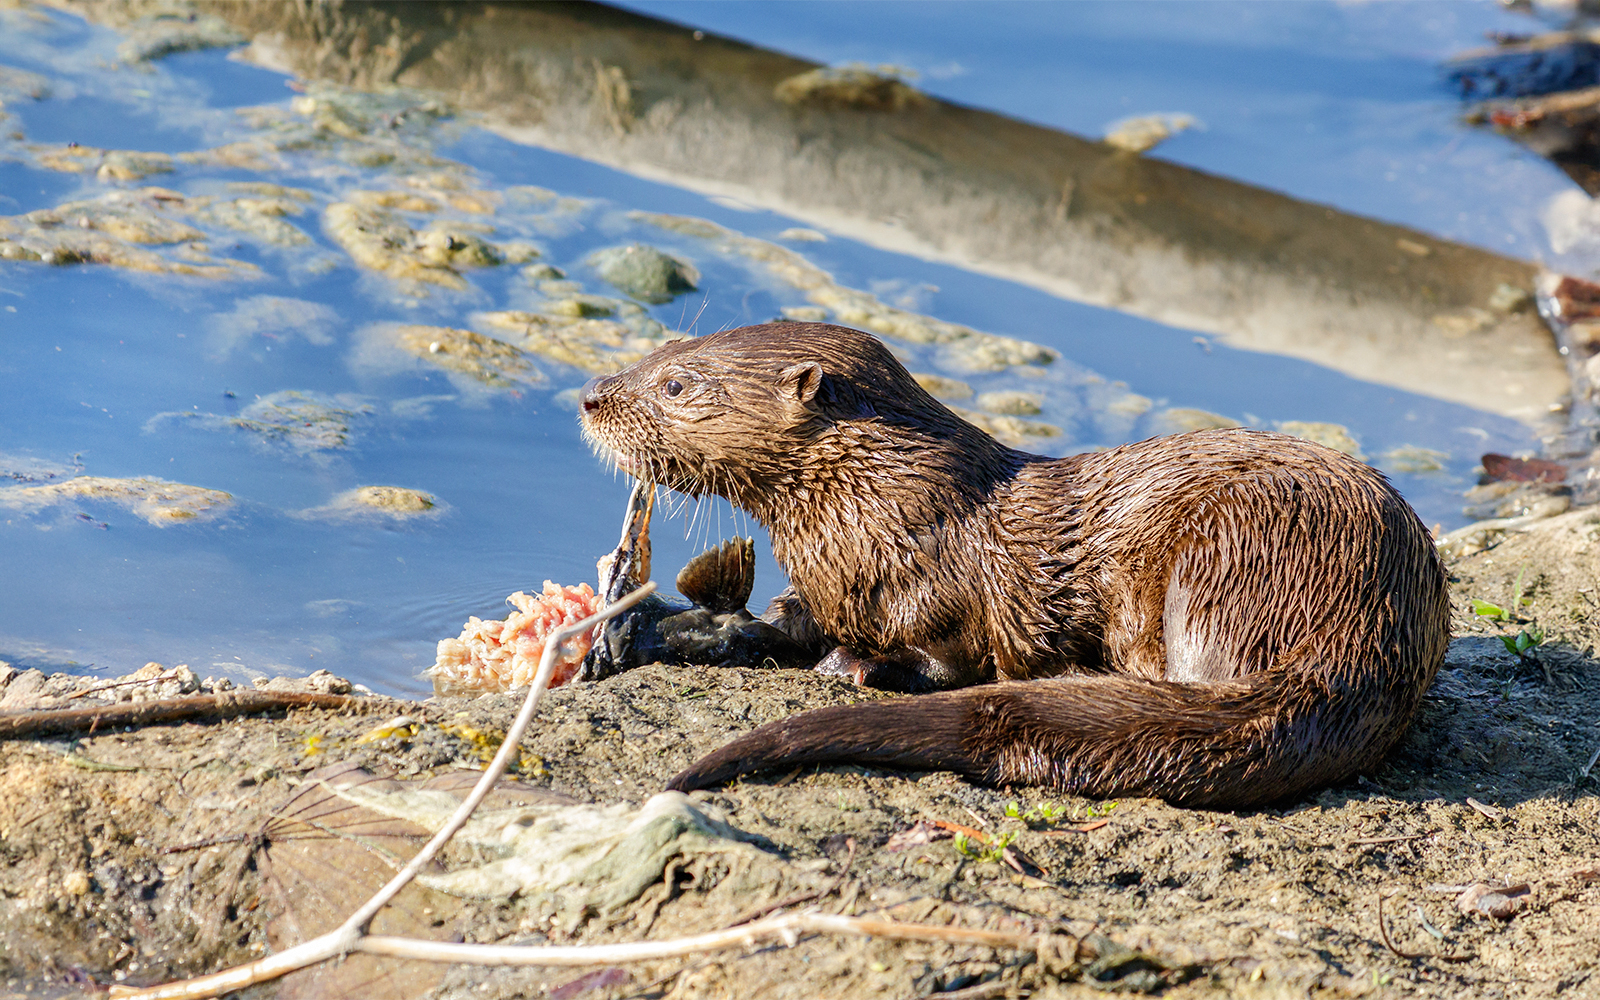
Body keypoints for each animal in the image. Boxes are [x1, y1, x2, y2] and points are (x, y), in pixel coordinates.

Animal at [579, 322, 1450, 808]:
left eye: (676, 383)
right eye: (665, 348)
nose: (591, 397)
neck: (876, 510)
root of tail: (1362, 641)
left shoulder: (944, 590)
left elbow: (947, 655)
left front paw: (862, 666)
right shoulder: (835, 584)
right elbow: (791, 618)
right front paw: (714, 628)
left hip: (1230, 548)